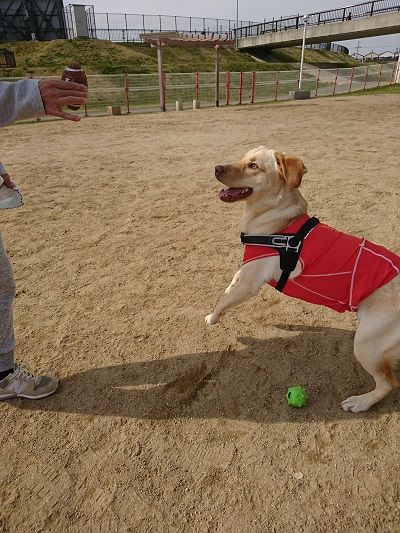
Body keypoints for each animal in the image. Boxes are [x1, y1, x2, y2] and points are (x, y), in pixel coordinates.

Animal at [206, 148, 400, 414]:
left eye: (253, 166)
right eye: (242, 157)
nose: (216, 168)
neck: (277, 223)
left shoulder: (250, 283)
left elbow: (223, 302)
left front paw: (212, 318)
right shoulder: (247, 269)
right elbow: (232, 280)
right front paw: (227, 288)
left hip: (366, 344)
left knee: (389, 384)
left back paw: (360, 402)